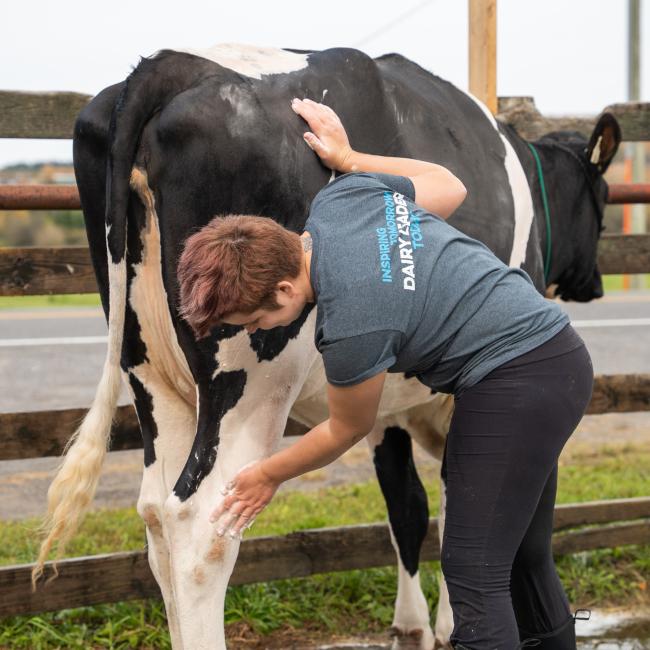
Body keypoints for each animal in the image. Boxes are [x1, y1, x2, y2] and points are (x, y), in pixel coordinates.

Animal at [36, 44, 616, 648]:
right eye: (602, 199)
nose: (595, 284)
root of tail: (172, 63)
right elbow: (456, 504)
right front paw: (446, 623)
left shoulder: (385, 402)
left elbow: (406, 506)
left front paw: (411, 624)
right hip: (251, 385)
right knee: (199, 526)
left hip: (150, 374)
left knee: (156, 518)